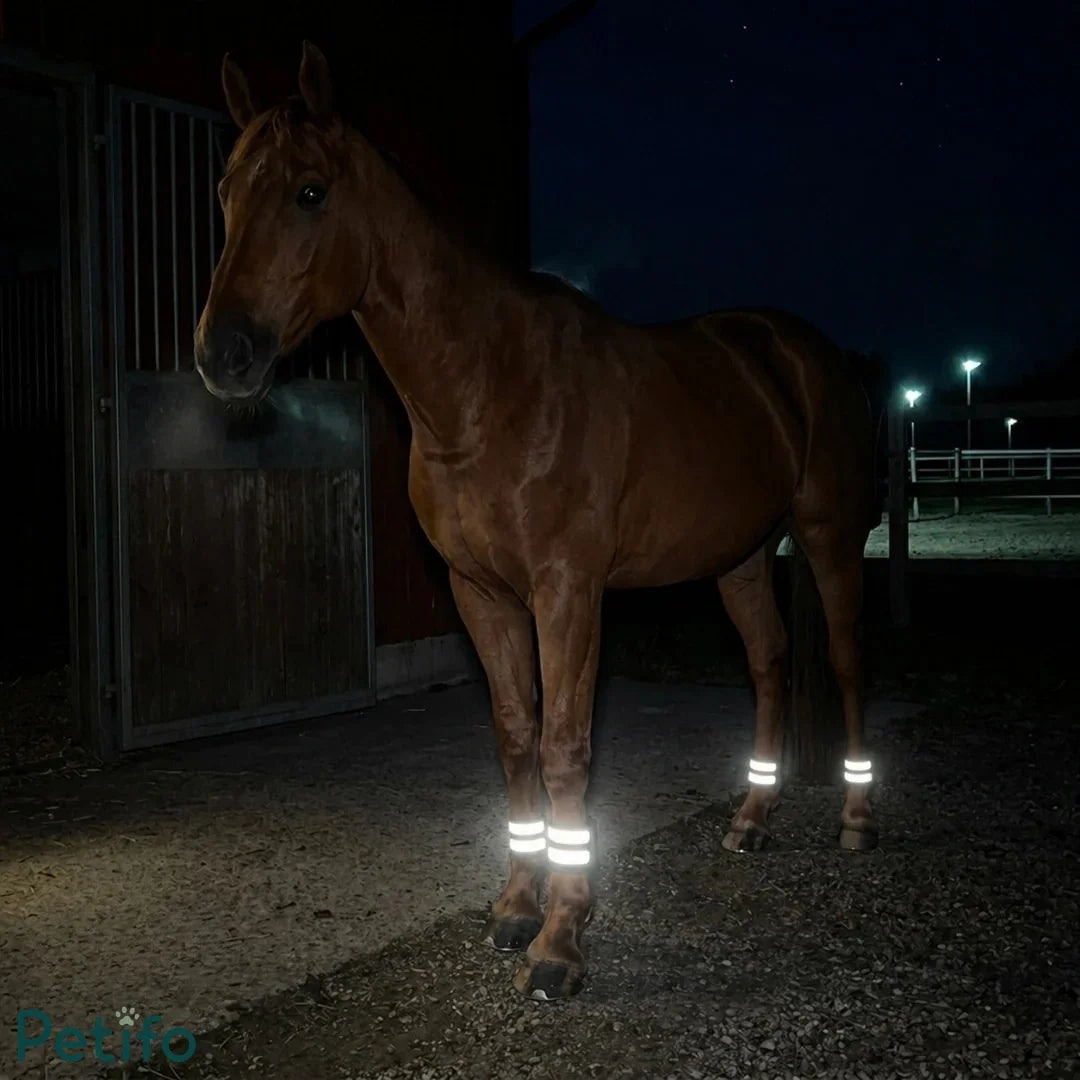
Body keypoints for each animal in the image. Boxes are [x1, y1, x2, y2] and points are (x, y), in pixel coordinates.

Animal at [195, 42, 880, 1001]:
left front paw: (562, 940)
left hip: (828, 538)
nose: (223, 353)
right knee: (771, 665)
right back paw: (752, 817)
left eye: (309, 191)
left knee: (848, 663)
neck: (488, 389)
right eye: (226, 190)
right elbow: (517, 738)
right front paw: (518, 908)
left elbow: (564, 750)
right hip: (740, 558)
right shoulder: (480, 593)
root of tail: (803, 350)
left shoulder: (568, 594)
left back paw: (856, 817)